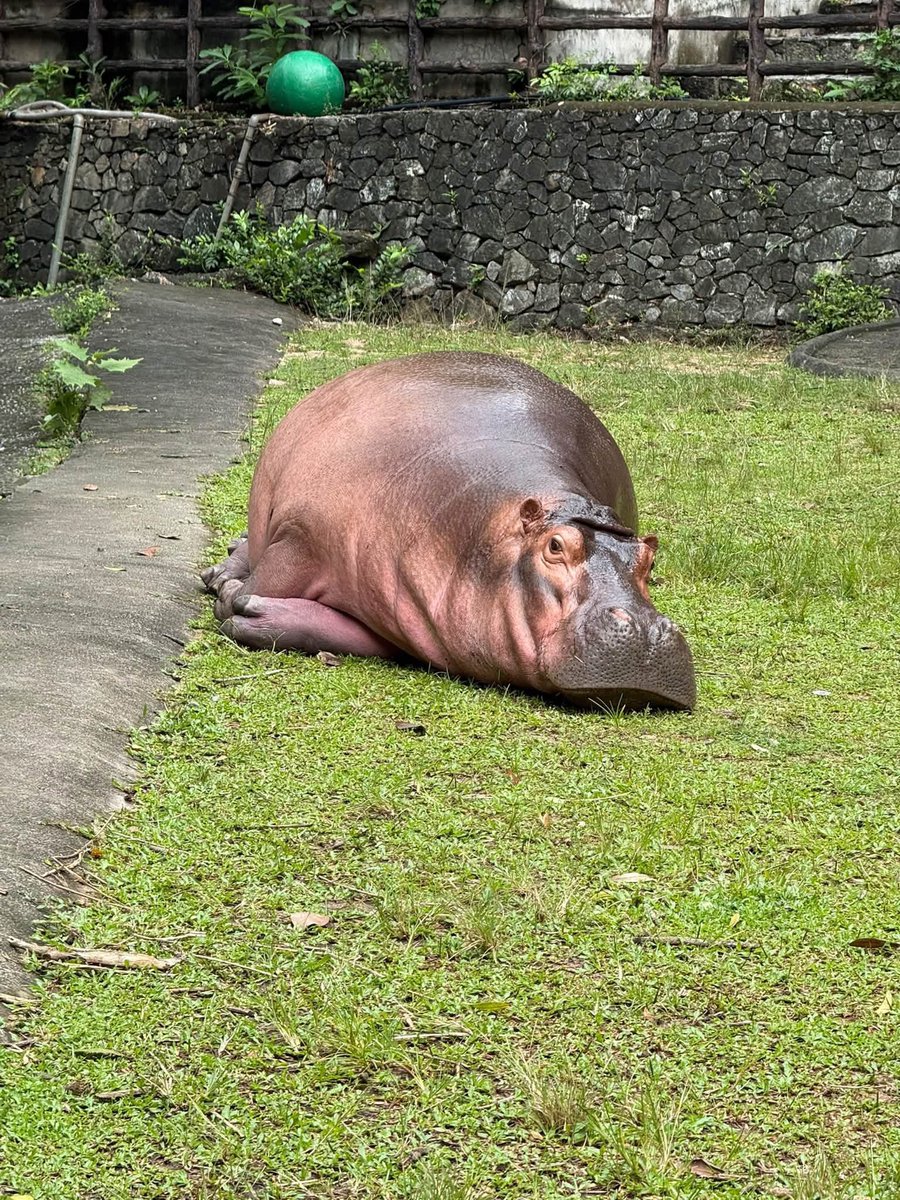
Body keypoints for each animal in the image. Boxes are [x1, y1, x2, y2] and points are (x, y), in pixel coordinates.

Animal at [202, 352, 696, 711]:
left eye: (648, 559)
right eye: (555, 546)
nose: (648, 629)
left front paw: (248, 607)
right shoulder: (301, 535)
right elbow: (261, 584)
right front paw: (233, 594)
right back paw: (222, 572)